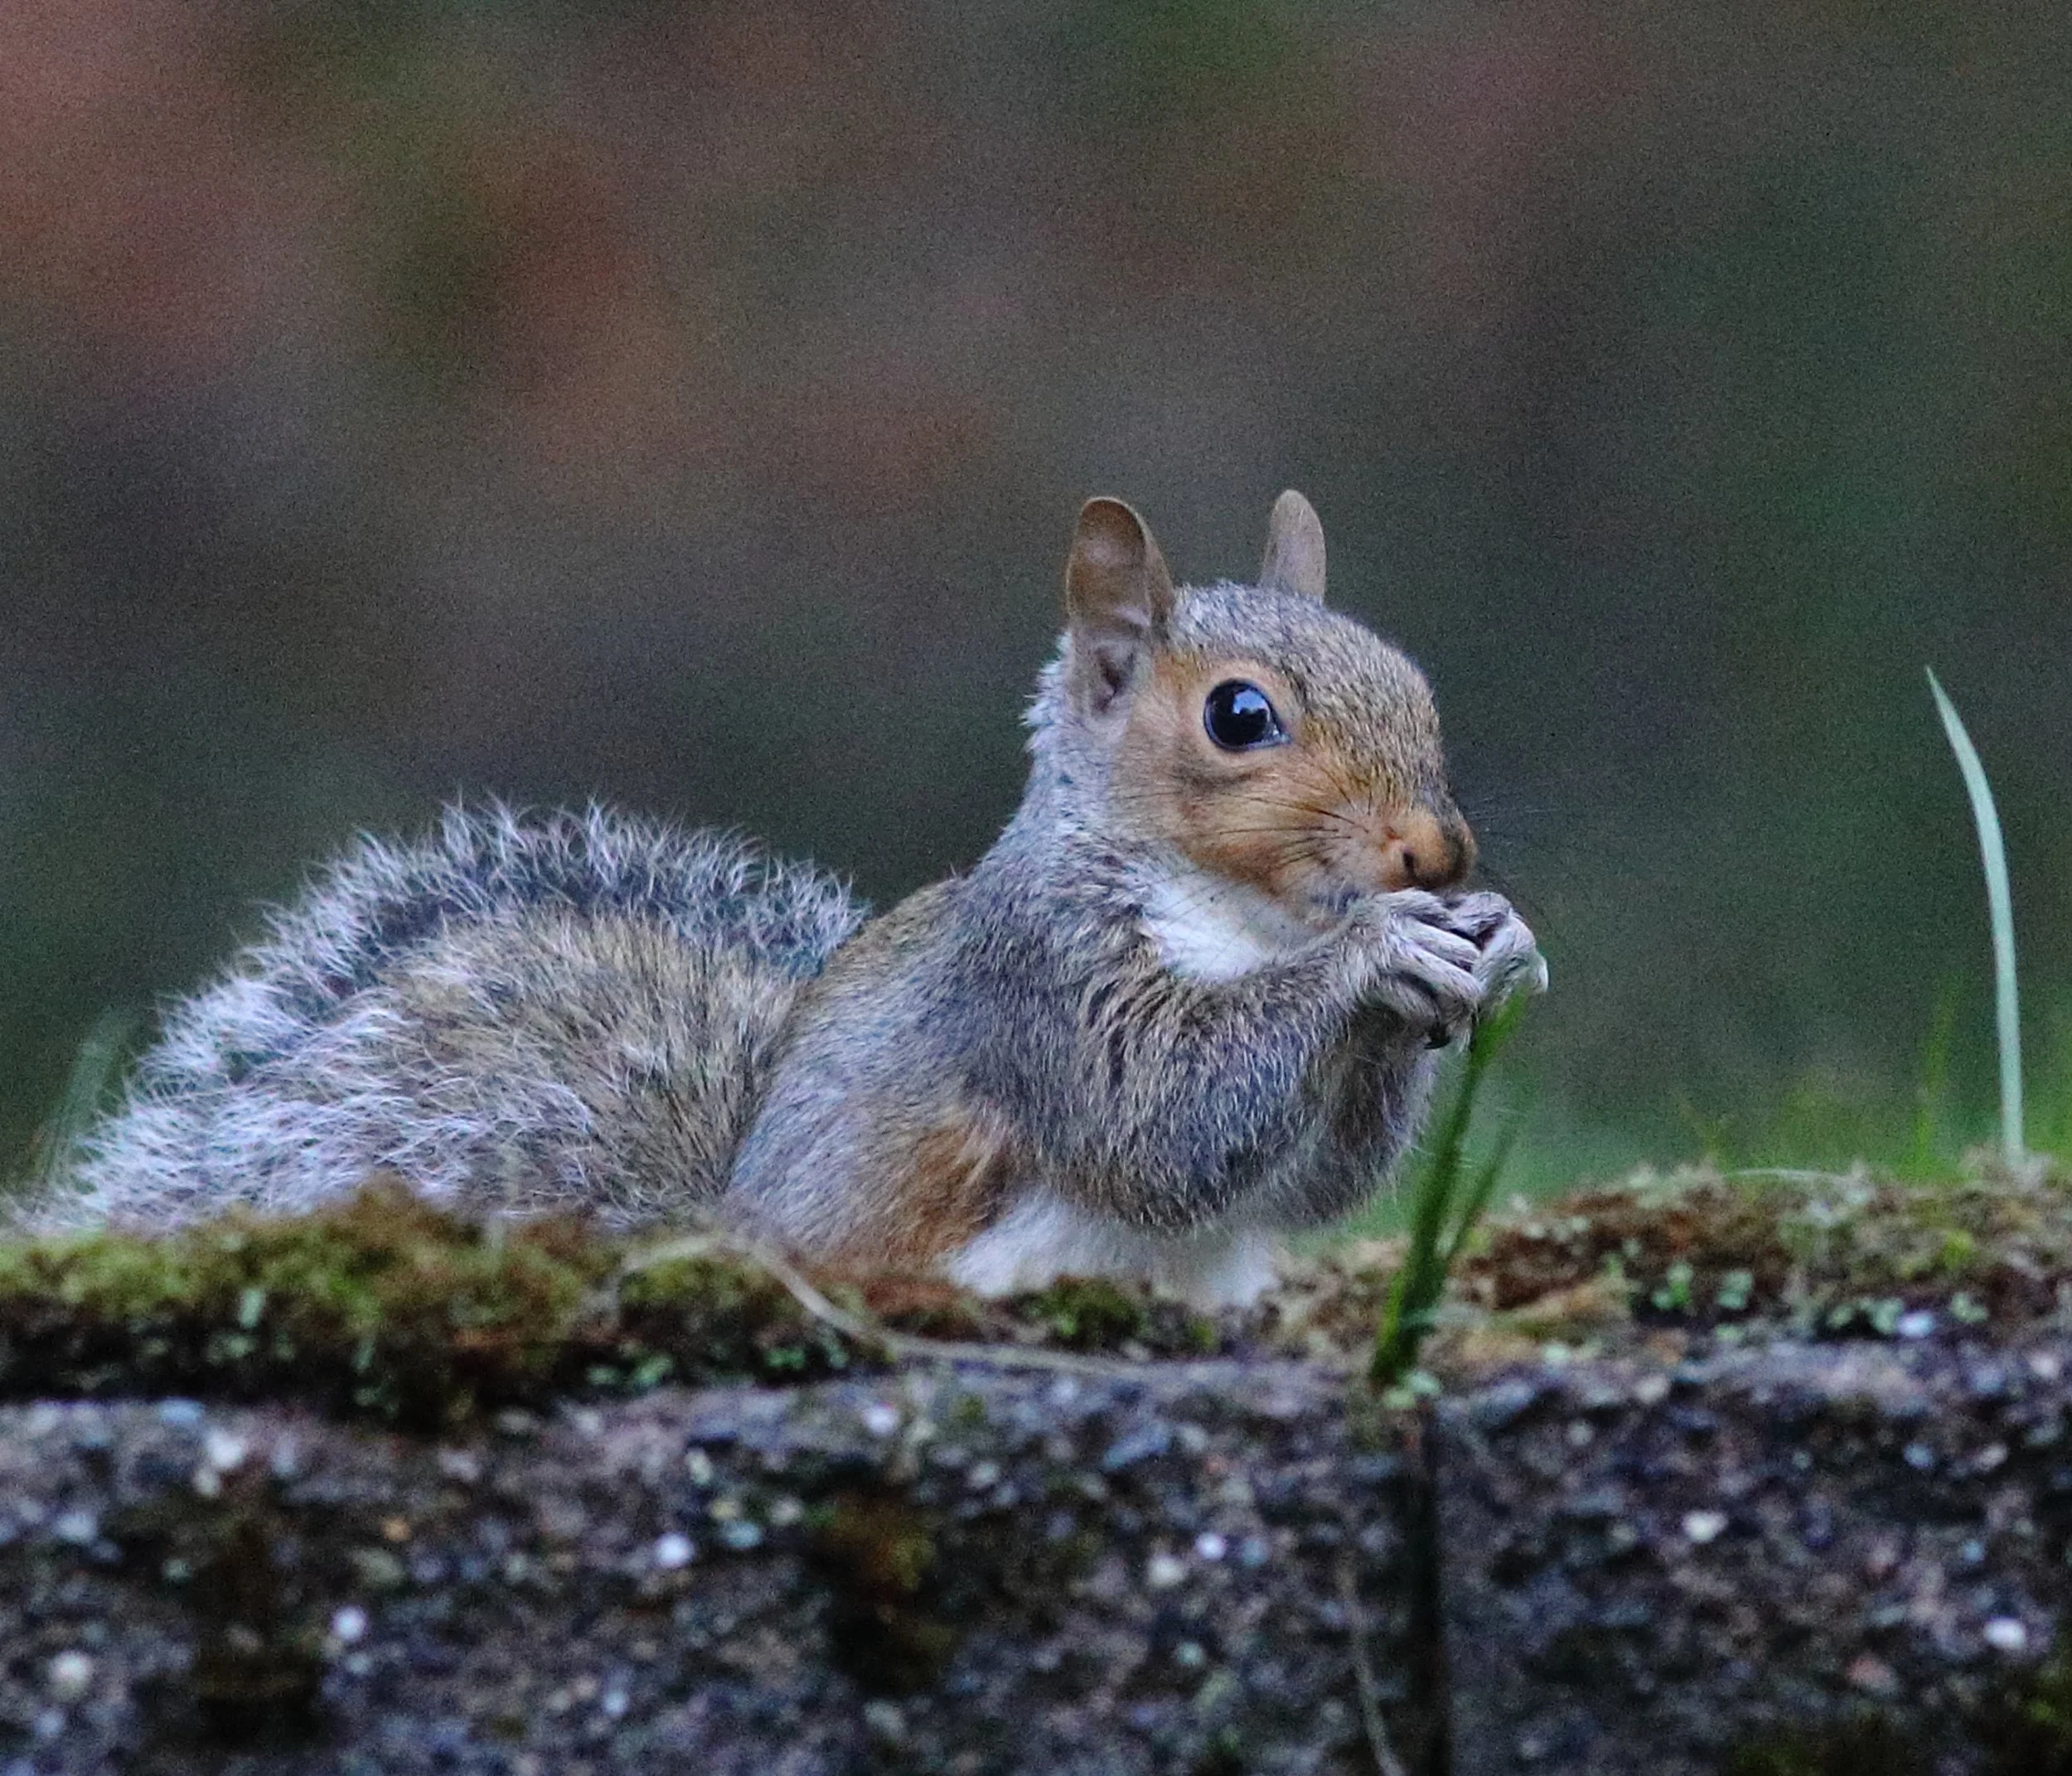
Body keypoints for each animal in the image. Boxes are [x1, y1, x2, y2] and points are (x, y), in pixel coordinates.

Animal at [36, 492, 1544, 1307]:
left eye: (1410, 679)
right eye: (1239, 716)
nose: (1440, 852)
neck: (1246, 918)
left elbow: (1315, 1181)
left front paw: (1491, 943)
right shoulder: (1038, 981)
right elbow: (1159, 1117)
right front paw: (1372, 957)